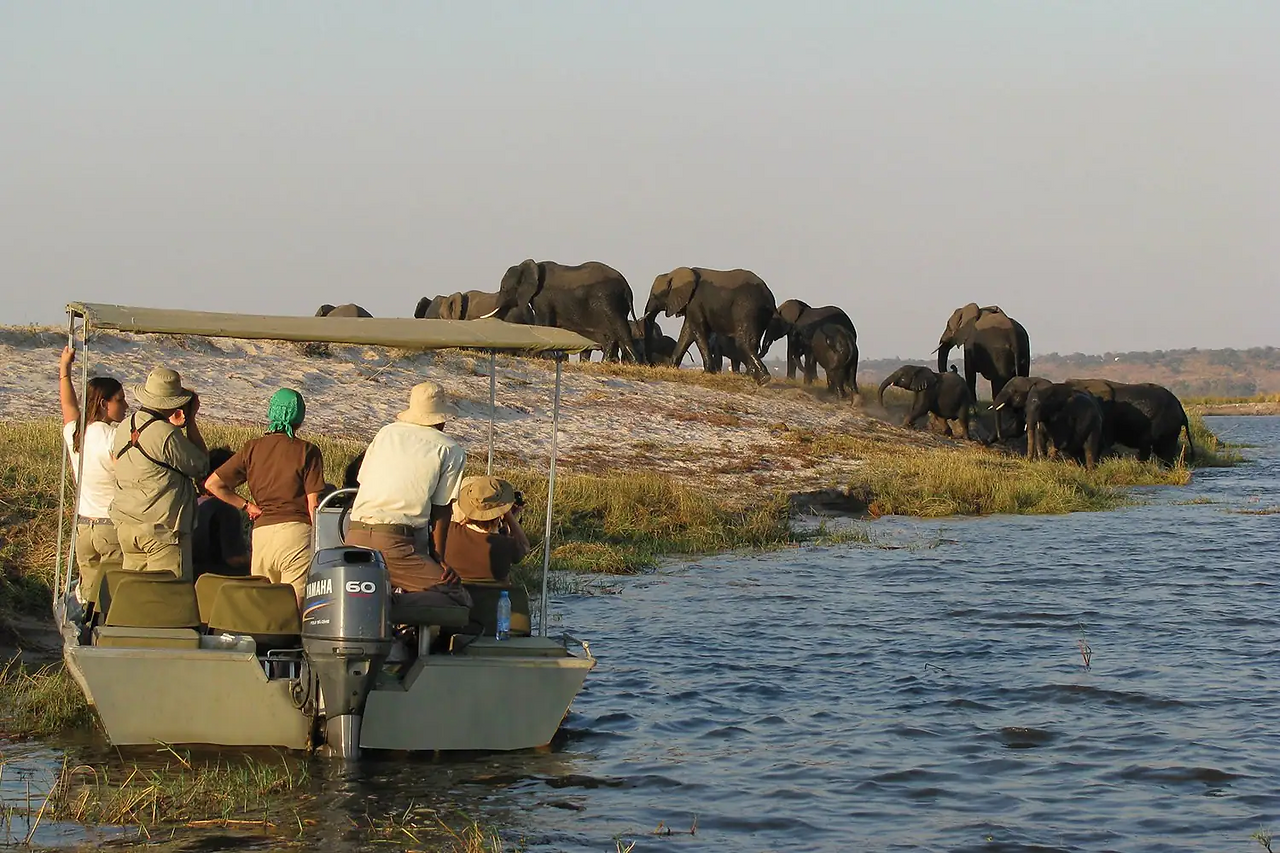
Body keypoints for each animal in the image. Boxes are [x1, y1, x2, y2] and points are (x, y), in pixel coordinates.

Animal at [495, 260, 639, 362]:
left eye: (504, 288)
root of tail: (627, 288)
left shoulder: (543, 298)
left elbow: (544, 324)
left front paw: (547, 357)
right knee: (612, 332)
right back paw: (607, 362)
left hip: (608, 300)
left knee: (620, 328)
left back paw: (634, 362)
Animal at [645, 267, 776, 384]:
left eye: (655, 296)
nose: (649, 364)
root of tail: (769, 297)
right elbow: (687, 332)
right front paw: (670, 368)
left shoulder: (695, 302)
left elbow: (698, 330)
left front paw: (707, 372)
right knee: (752, 341)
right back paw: (752, 376)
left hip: (746, 307)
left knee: (743, 341)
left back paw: (763, 379)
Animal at [937, 303, 1030, 438]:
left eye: (948, 326)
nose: (952, 367)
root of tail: (1014, 338)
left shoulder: (969, 343)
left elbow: (970, 372)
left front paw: (973, 409)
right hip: (1025, 351)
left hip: (999, 354)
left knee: (998, 382)